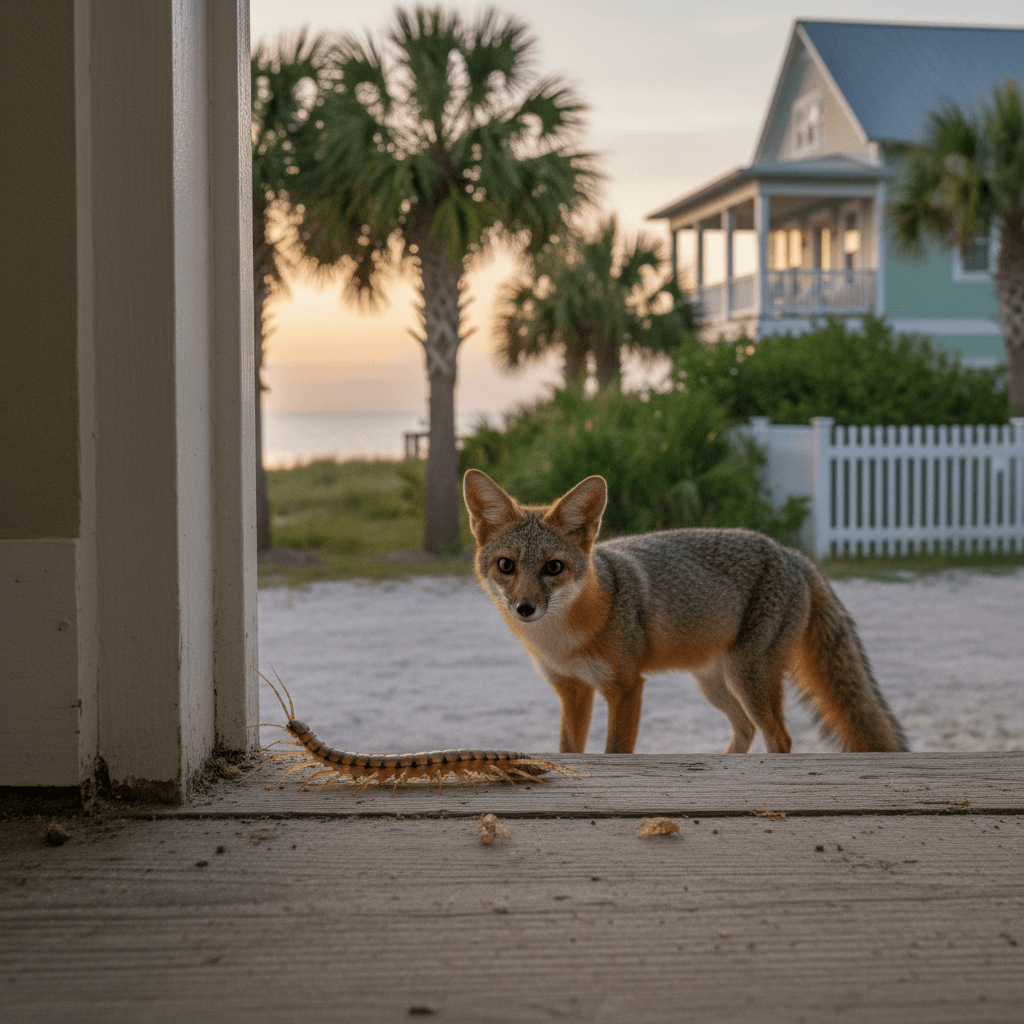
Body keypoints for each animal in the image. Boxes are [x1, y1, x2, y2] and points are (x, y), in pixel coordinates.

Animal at [463, 469, 909, 755]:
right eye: (506, 566)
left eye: (553, 568)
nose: (525, 608)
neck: (561, 639)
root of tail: (790, 553)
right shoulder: (573, 690)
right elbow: (569, 749)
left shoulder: (625, 687)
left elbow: (614, 750)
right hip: (714, 683)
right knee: (746, 729)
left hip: (747, 676)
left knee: (779, 738)